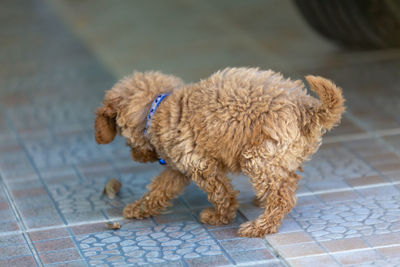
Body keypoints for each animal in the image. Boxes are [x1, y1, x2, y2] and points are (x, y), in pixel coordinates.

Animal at [95, 67, 346, 239]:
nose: (136, 157)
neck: (158, 107)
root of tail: (307, 107)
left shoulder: (201, 165)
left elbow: (221, 194)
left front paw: (219, 217)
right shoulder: (179, 168)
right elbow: (159, 189)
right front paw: (139, 207)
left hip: (256, 158)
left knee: (282, 198)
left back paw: (259, 226)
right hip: (278, 155)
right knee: (287, 184)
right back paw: (262, 202)